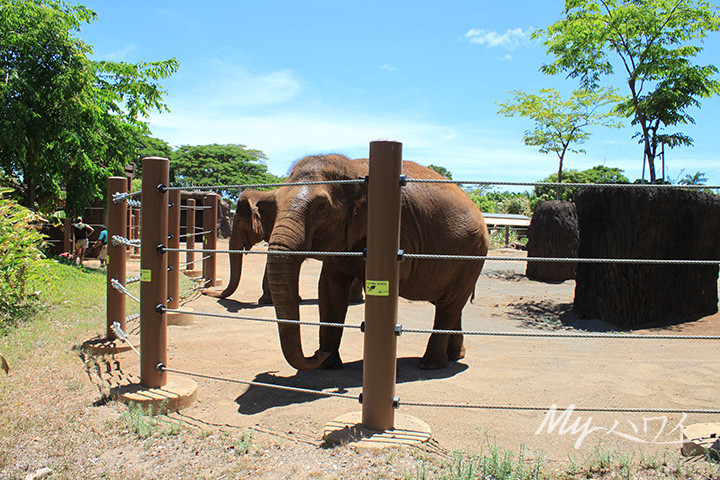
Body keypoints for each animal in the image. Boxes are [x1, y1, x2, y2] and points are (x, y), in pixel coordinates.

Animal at [268, 154, 492, 372]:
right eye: (276, 204)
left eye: (321, 207)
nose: (317, 354)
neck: (355, 170)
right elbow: (330, 289)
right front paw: (329, 364)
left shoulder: (398, 230)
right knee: (451, 303)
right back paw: (455, 356)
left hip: (473, 256)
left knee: (450, 304)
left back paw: (431, 365)